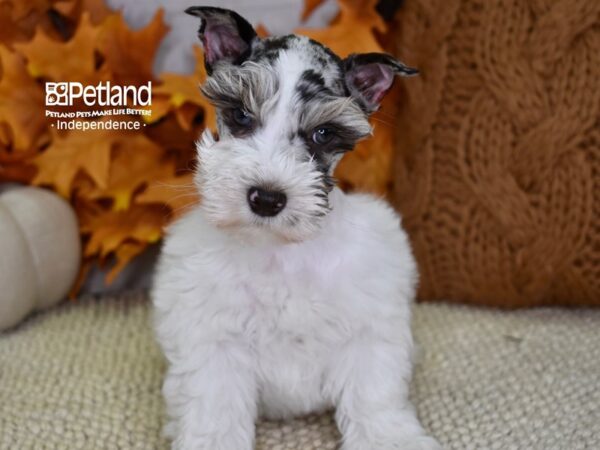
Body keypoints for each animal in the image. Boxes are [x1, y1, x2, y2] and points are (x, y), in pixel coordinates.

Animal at [152, 7, 438, 450]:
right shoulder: (214, 343)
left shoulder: (367, 333)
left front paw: (389, 438)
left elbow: (373, 398)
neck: (279, 251)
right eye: (240, 115)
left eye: (323, 133)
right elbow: (215, 409)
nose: (267, 198)